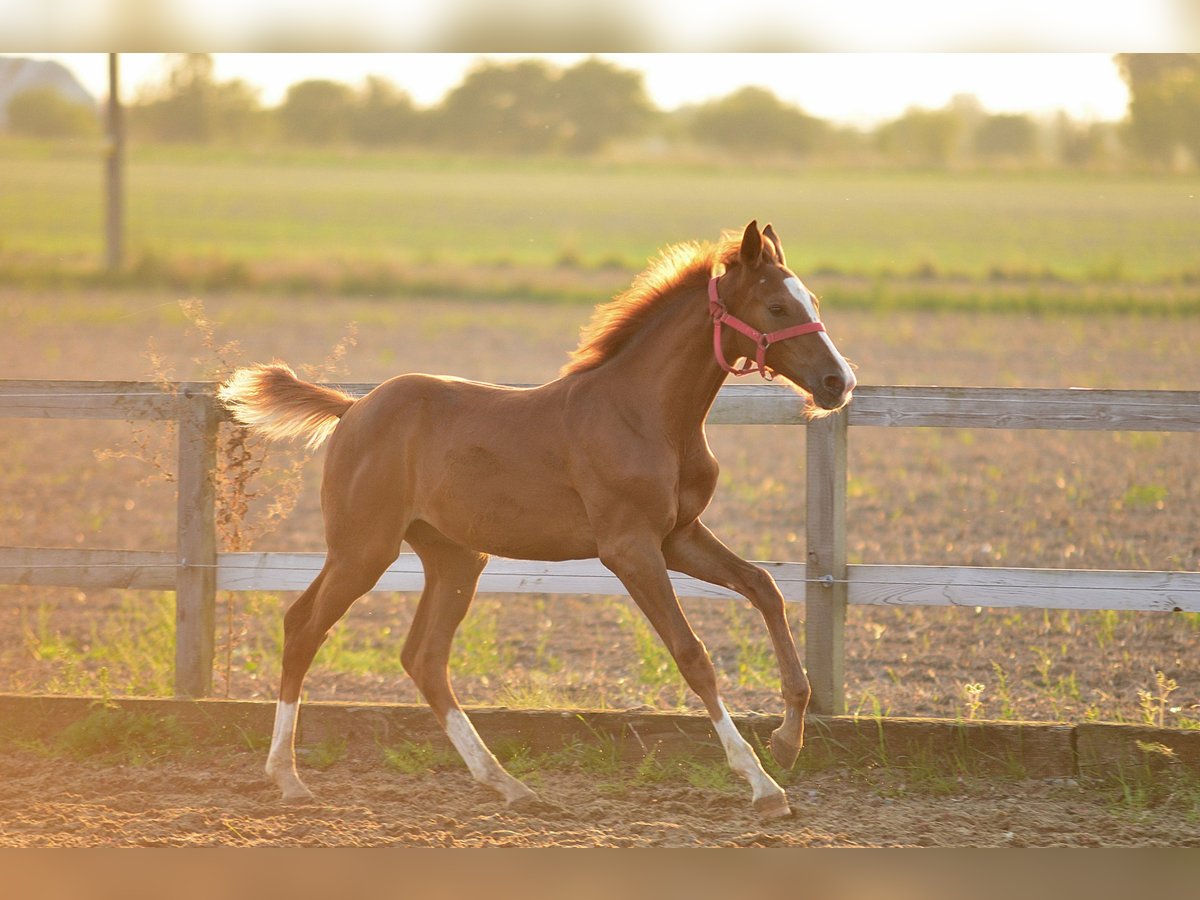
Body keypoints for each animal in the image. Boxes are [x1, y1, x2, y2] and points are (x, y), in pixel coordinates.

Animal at [218, 220, 854, 816]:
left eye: (814, 301)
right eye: (776, 307)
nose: (838, 382)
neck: (646, 415)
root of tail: (352, 409)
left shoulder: (678, 536)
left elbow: (764, 585)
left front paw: (787, 741)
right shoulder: (629, 548)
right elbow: (692, 654)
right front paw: (763, 783)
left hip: (455, 556)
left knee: (424, 657)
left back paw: (508, 784)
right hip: (363, 548)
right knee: (304, 626)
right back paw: (288, 777)